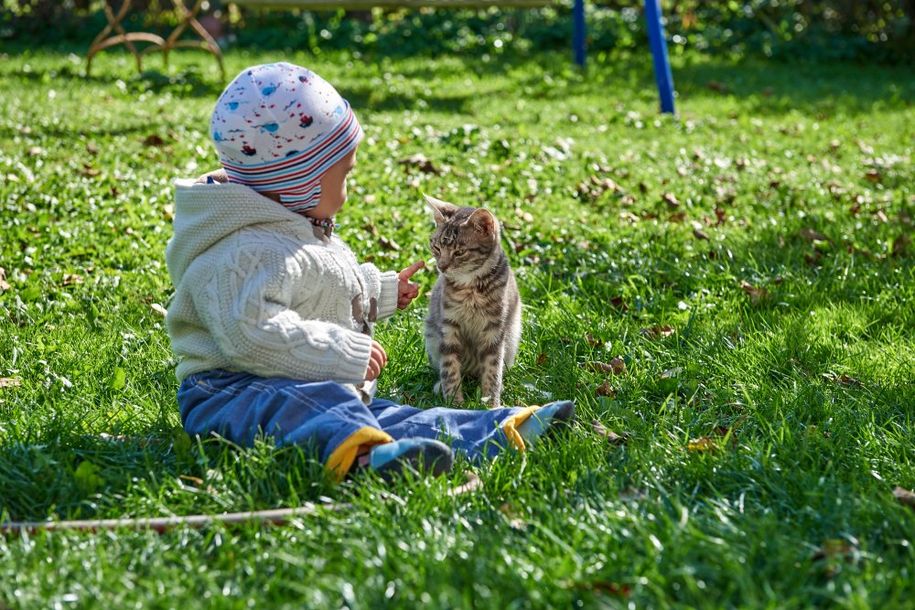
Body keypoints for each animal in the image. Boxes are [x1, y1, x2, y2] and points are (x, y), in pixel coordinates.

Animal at [424, 195, 524, 408]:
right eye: (436, 247)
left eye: (459, 252)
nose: (441, 267)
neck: (471, 289)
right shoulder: (448, 326)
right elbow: (450, 368)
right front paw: (454, 403)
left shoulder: (495, 329)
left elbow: (493, 370)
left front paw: (491, 404)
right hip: (431, 334)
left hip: (511, 338)